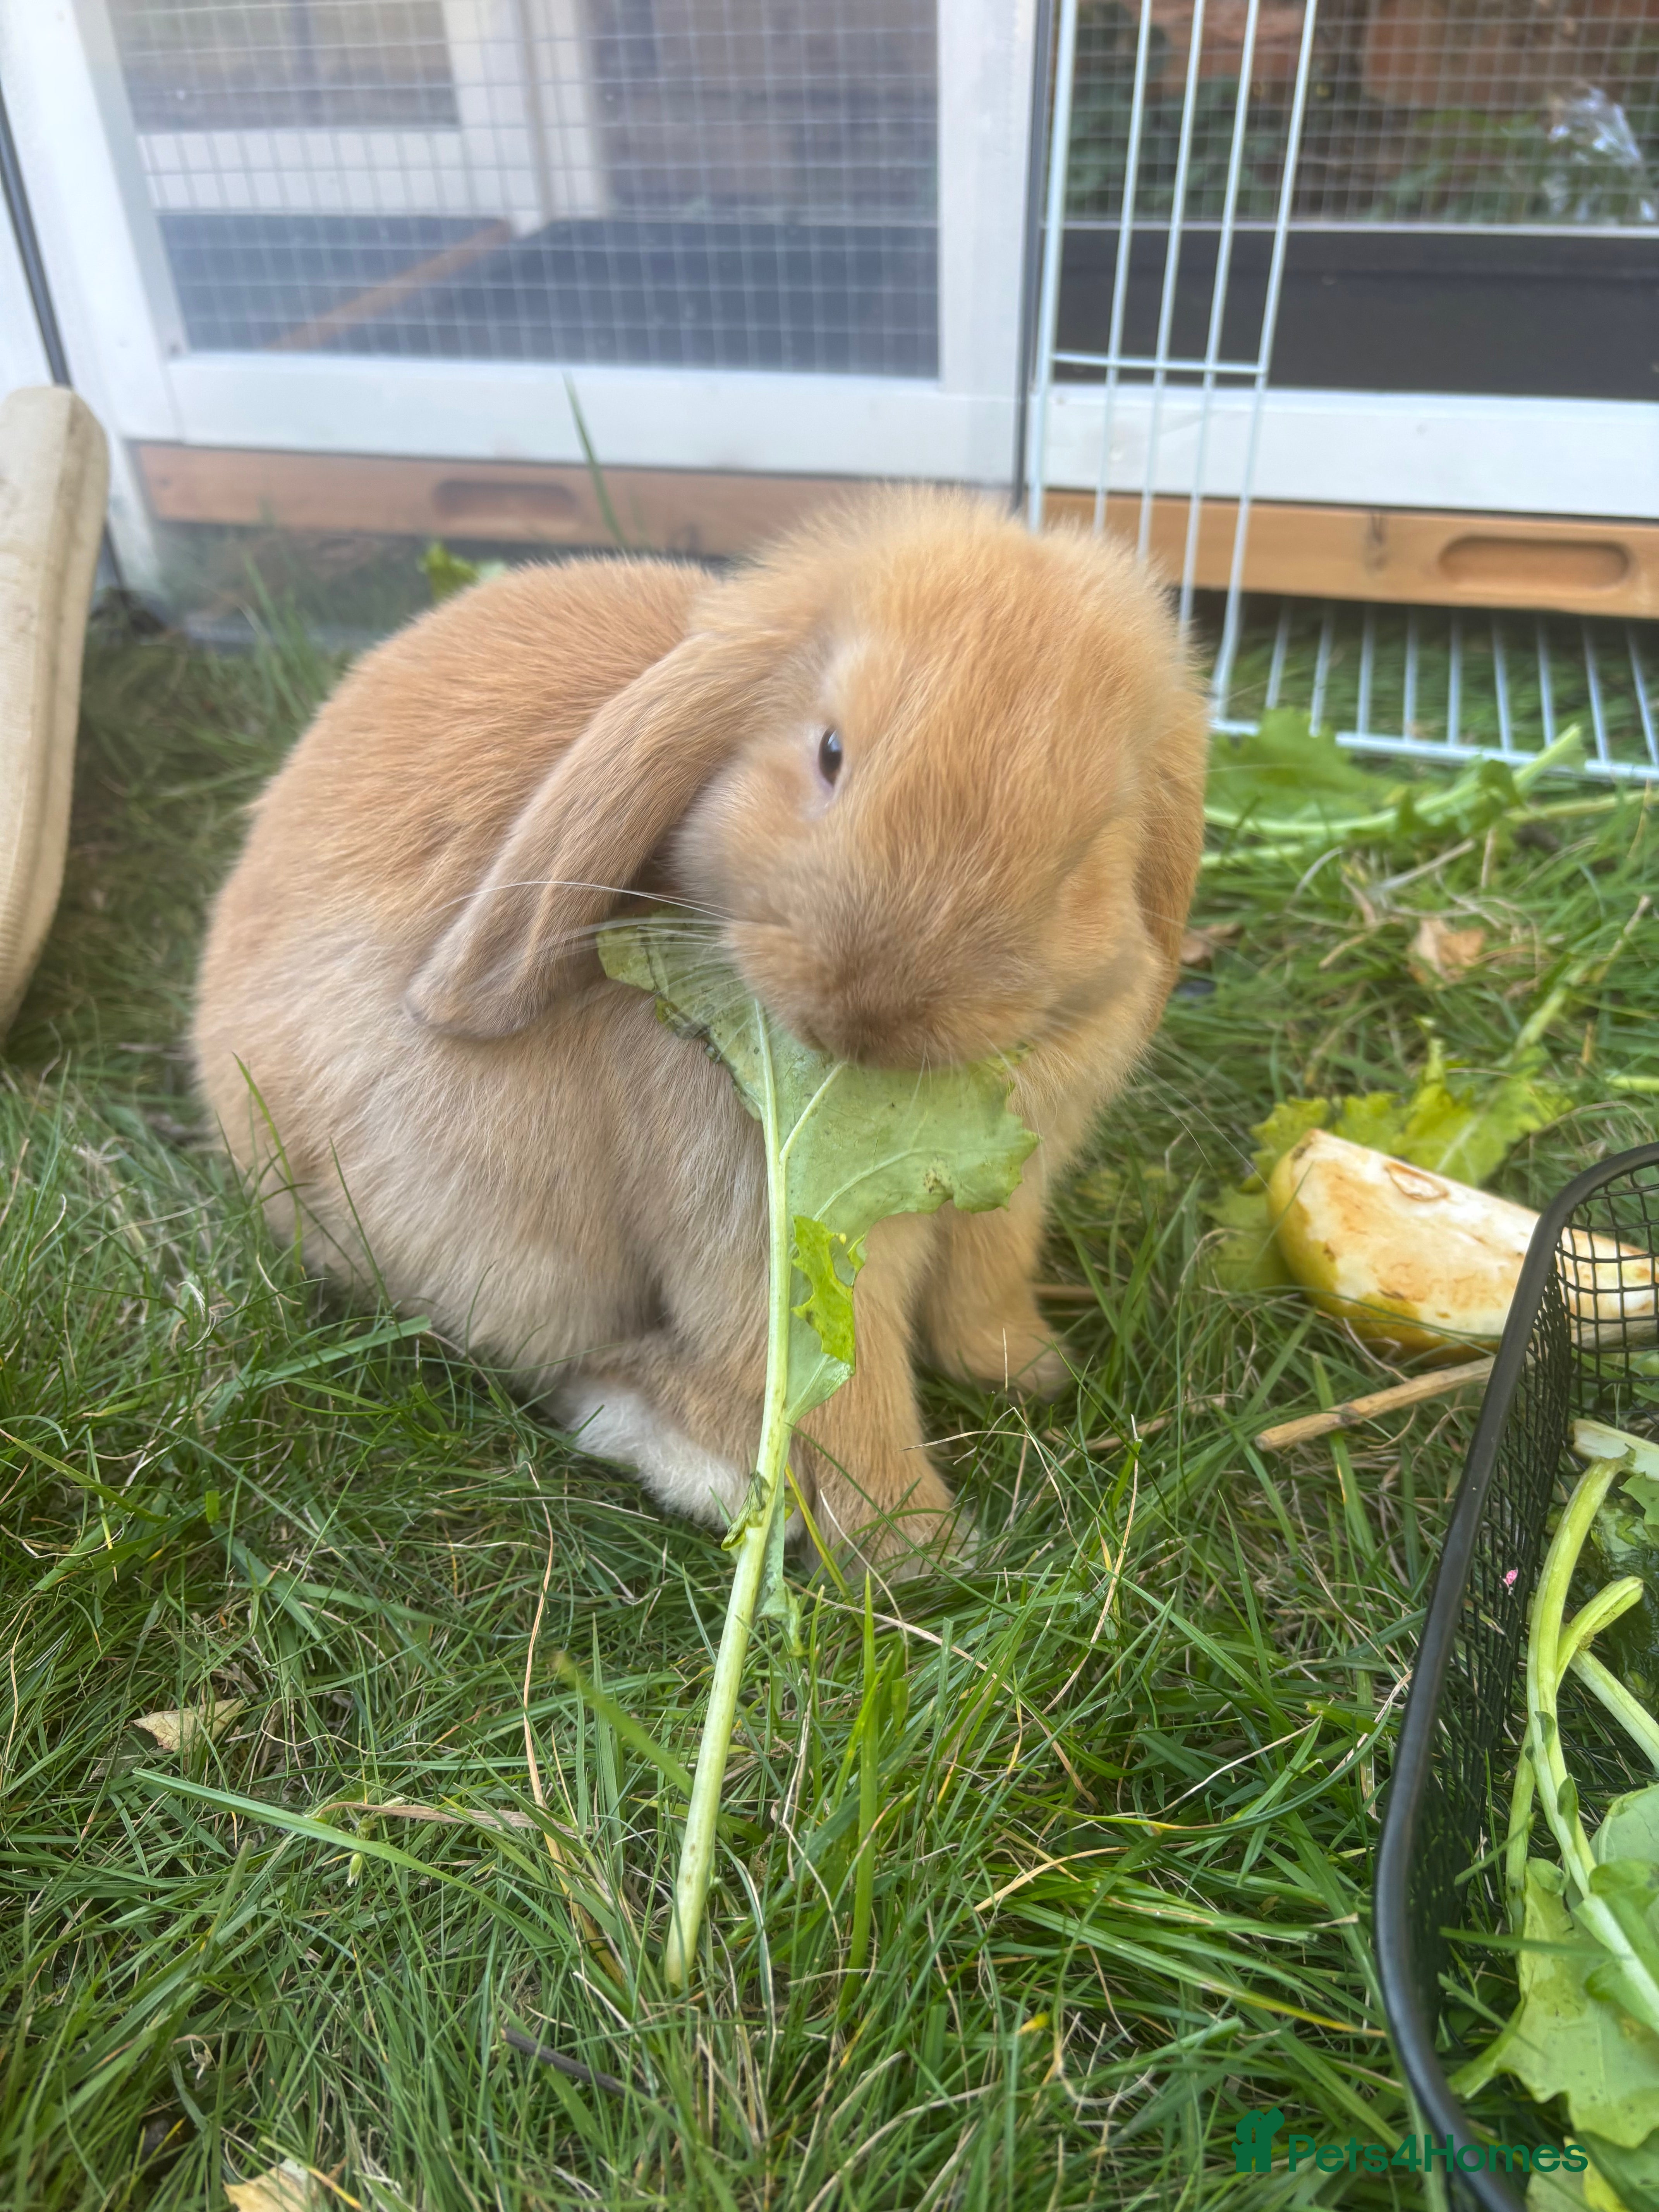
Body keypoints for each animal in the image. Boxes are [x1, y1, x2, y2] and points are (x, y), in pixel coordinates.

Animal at [193, 488, 1209, 1570]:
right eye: (830, 754)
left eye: (1093, 841)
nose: (871, 1010)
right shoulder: (775, 1257)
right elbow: (846, 1402)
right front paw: (921, 1550)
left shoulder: (1006, 1201)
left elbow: (980, 1294)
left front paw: (1029, 1374)